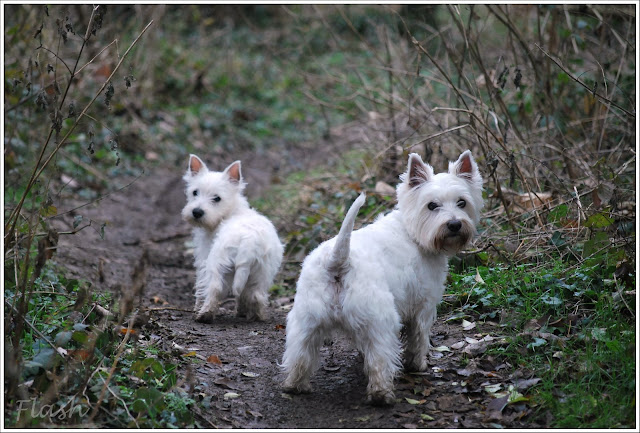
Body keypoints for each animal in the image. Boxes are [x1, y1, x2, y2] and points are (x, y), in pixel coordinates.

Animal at [180, 154, 280, 320]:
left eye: (217, 198)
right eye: (195, 192)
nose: (197, 212)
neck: (229, 212)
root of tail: (248, 241)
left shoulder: (204, 258)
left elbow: (201, 286)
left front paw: (197, 308)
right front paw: (242, 310)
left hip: (218, 262)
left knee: (215, 287)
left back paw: (205, 314)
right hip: (262, 271)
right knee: (256, 294)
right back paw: (257, 315)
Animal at [282, 150, 482, 404]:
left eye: (462, 202)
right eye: (432, 205)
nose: (455, 224)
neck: (413, 233)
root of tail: (338, 259)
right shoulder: (424, 304)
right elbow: (418, 337)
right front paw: (418, 364)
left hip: (307, 319)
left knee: (300, 353)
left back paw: (295, 385)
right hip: (381, 319)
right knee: (380, 357)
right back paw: (381, 393)